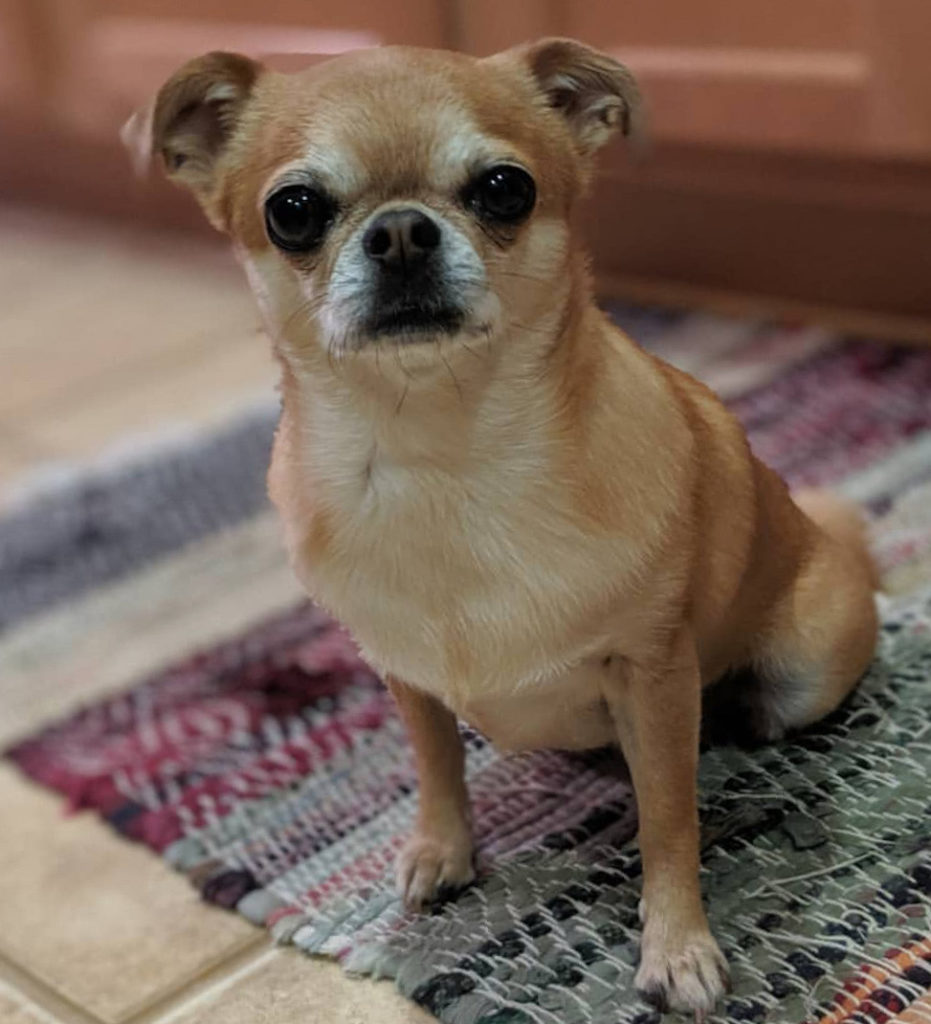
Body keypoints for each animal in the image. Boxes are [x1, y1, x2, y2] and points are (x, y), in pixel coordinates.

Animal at [125, 39, 880, 1015]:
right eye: (292, 210)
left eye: (503, 189)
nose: (400, 231)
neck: (440, 457)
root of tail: (833, 542)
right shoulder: (403, 675)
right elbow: (437, 762)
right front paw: (441, 849)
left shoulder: (654, 676)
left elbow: (668, 819)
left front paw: (677, 946)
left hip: (803, 667)